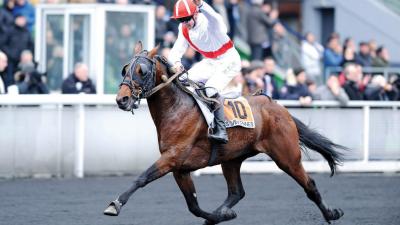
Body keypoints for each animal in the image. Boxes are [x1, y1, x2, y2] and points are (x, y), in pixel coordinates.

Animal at [104, 42, 346, 225]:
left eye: (142, 71)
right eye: (125, 69)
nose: (122, 99)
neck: (175, 108)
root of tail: (279, 106)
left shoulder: (172, 158)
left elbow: (142, 178)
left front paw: (114, 205)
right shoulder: (180, 168)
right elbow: (193, 205)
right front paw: (219, 216)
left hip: (287, 156)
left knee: (310, 185)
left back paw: (332, 213)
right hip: (231, 159)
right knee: (237, 192)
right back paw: (222, 212)